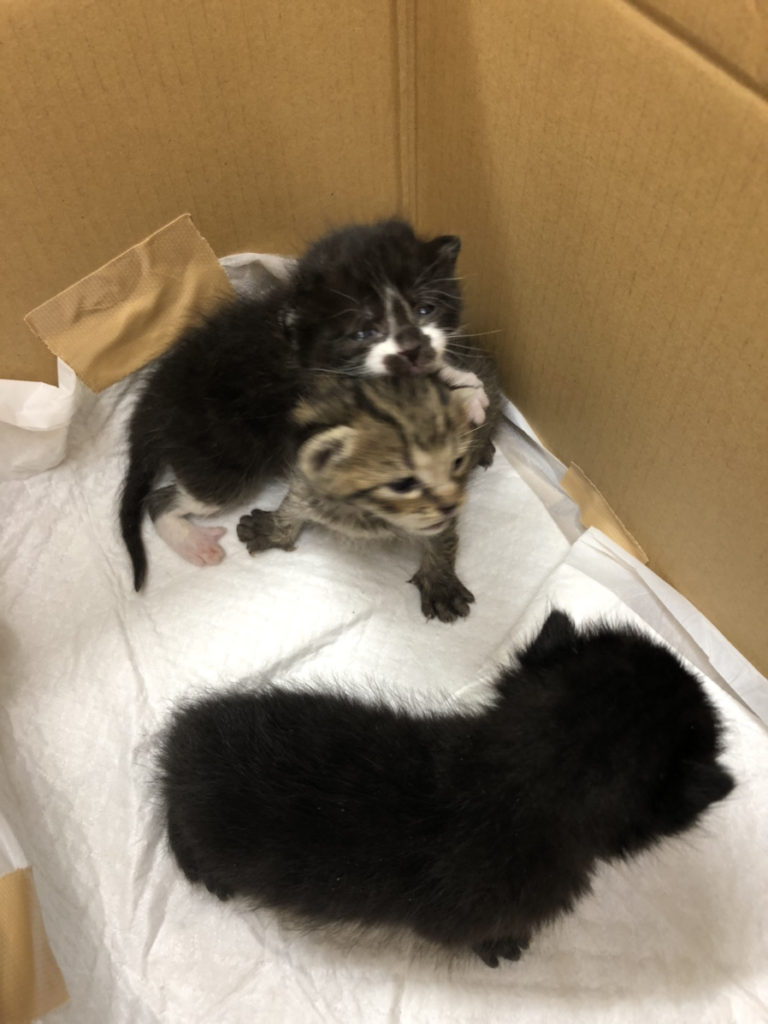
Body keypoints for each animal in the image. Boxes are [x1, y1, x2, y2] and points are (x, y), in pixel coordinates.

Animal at [119, 218, 490, 591]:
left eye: (425, 309)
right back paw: (192, 542)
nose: (413, 348)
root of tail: (154, 398)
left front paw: (467, 384)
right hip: (222, 462)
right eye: (363, 332)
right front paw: (463, 393)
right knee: (163, 499)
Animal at [236, 367, 499, 621]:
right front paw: (273, 527)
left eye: (457, 462)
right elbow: (295, 500)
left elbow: (443, 536)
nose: (450, 505)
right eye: (403, 484)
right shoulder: (307, 475)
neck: (364, 509)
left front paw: (440, 581)